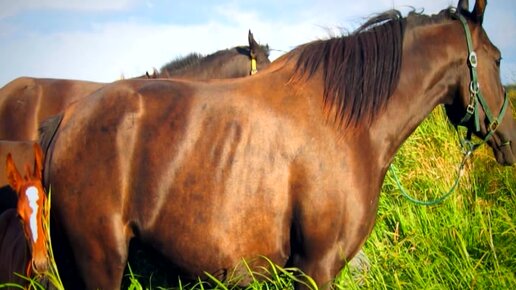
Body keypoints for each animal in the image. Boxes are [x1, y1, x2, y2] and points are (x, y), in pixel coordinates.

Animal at [39, 1, 512, 288]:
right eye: (499, 58)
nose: (510, 136)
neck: (347, 124)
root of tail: (67, 118)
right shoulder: (316, 266)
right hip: (101, 261)